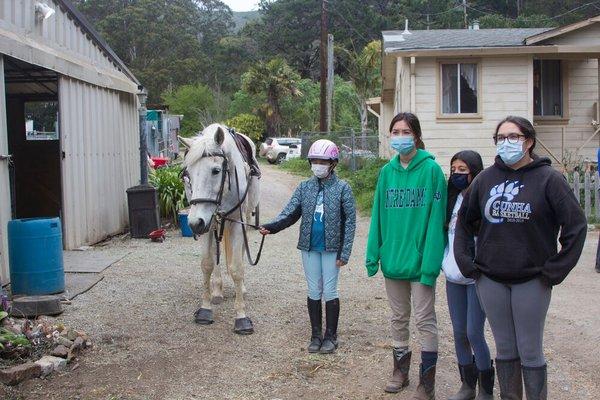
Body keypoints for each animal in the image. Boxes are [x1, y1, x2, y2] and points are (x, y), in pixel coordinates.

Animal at [177, 122, 258, 334]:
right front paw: (205, 309)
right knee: (217, 254)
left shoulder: (237, 221)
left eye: (215, 170)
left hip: (245, 216)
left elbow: (237, 268)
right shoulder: (208, 221)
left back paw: (241, 289)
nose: (194, 223)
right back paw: (217, 290)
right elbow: (207, 263)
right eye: (187, 174)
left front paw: (241, 317)